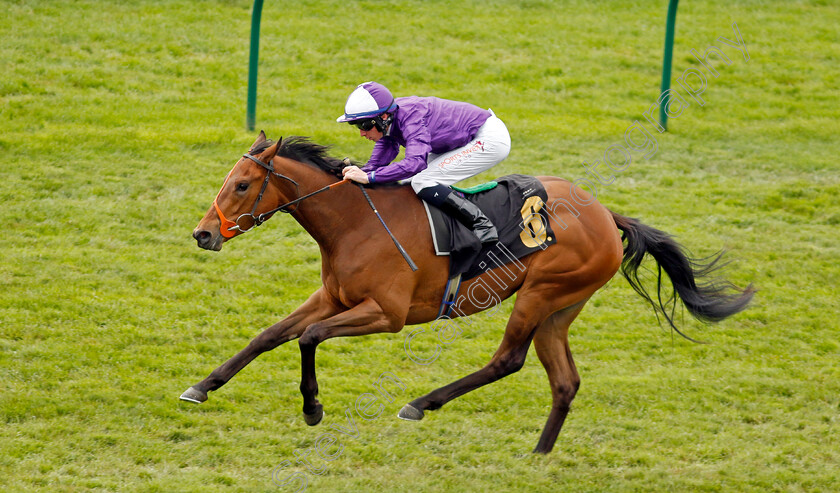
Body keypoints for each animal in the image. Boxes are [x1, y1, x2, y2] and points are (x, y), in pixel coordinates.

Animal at [184, 132, 756, 454]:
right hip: (561, 307)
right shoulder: (335, 298)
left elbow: (309, 338)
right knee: (565, 381)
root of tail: (603, 212)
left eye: (241, 185)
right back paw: (539, 455)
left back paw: (421, 403)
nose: (203, 234)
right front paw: (202, 386)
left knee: (508, 360)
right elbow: (269, 335)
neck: (353, 223)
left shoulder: (386, 313)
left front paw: (312, 408)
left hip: (540, 294)